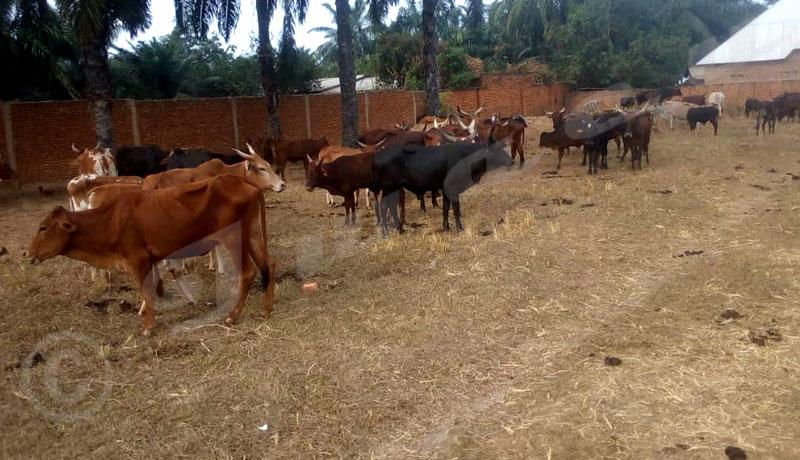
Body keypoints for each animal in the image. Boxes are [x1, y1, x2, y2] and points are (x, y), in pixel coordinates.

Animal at [25, 174, 273, 336]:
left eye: (43, 227)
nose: (26, 252)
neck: (111, 221)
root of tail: (247, 184)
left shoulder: (139, 260)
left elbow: (146, 291)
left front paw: (147, 328)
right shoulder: (151, 260)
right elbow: (153, 289)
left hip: (234, 238)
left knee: (247, 273)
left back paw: (233, 315)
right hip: (252, 235)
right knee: (266, 266)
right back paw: (266, 309)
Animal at [374, 129, 513, 235]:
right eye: (496, 149)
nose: (511, 160)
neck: (465, 158)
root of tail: (379, 155)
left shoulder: (445, 190)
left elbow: (446, 208)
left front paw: (446, 227)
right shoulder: (452, 188)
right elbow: (455, 208)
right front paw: (459, 228)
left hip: (394, 189)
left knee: (391, 207)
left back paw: (400, 229)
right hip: (389, 188)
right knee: (384, 207)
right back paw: (386, 231)